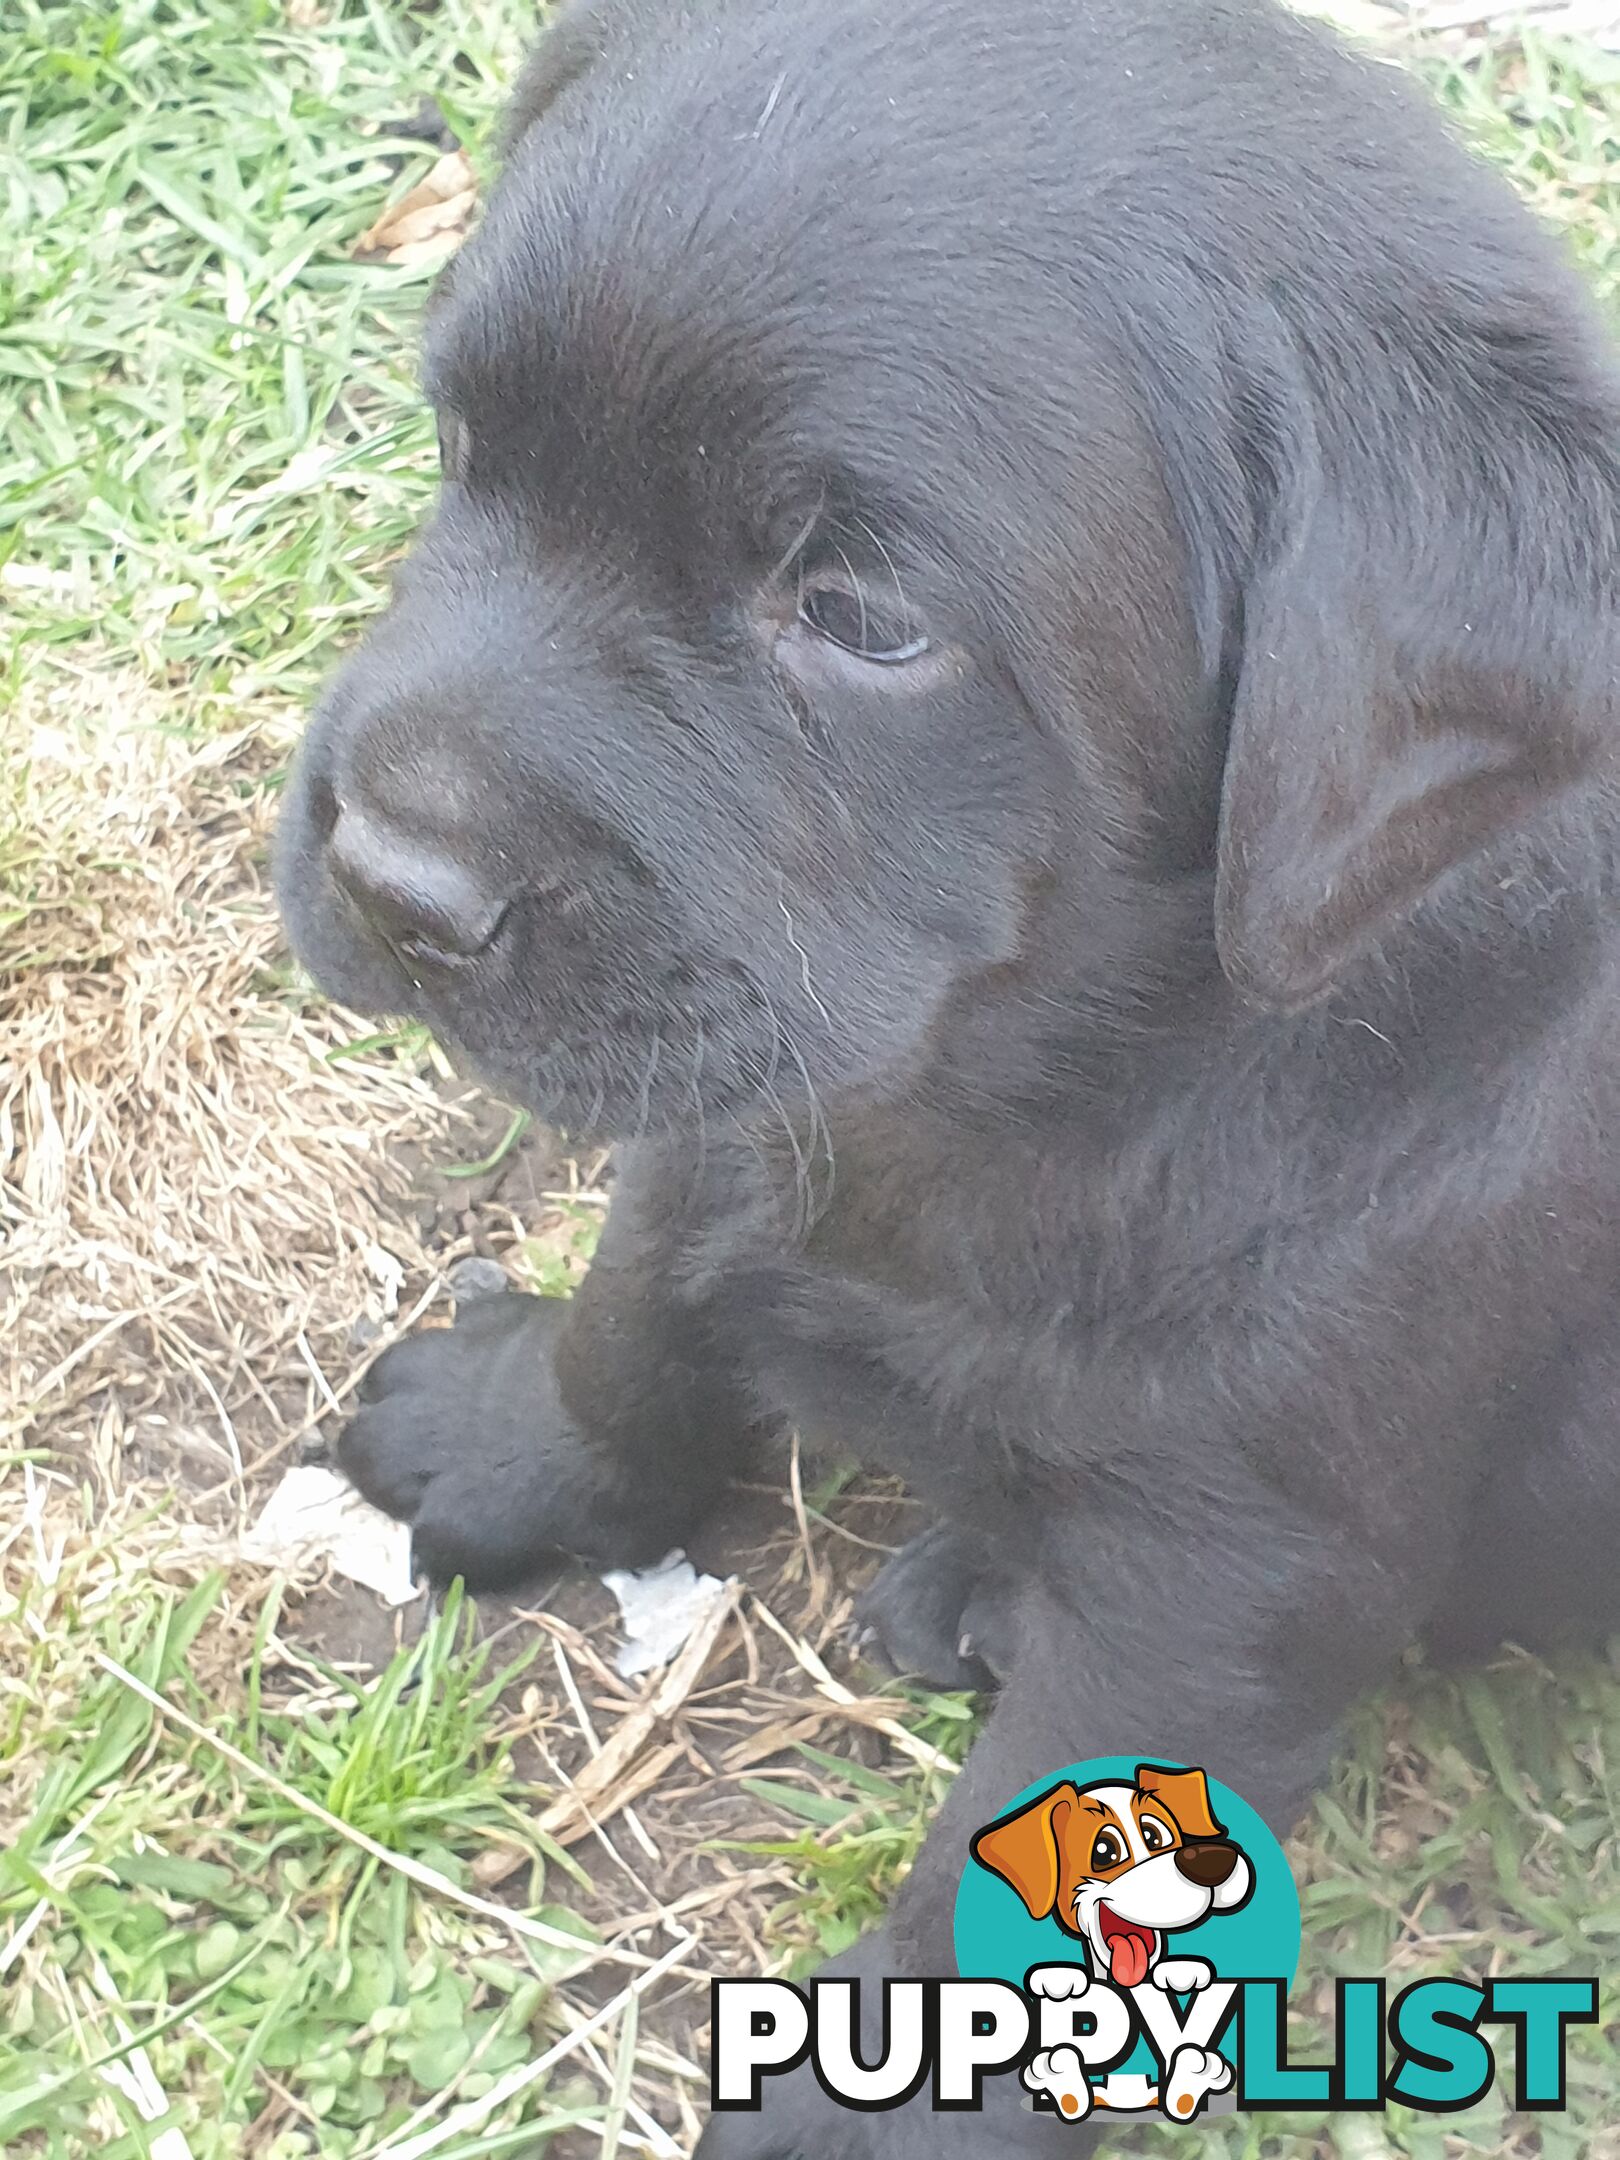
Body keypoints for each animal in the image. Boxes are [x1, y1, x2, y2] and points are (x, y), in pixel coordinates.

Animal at [278, 0, 1620, 2151]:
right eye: (464, 448)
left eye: (863, 618)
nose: (392, 878)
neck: (1038, 1076)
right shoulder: (743, 1114)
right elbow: (639, 1314)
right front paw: (514, 1435)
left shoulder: (1222, 1573)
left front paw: (890, 2089)